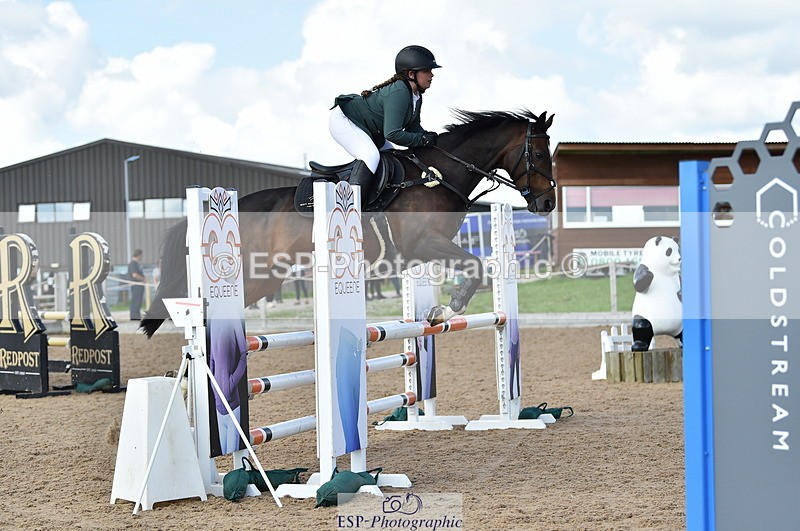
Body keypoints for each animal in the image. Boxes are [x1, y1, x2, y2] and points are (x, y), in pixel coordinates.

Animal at [140, 109, 555, 338]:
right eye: (537, 154)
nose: (548, 202)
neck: (437, 175)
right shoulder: (422, 243)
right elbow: (476, 266)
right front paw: (448, 309)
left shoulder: (424, 252)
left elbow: (476, 267)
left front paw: (440, 309)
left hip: (268, 277)